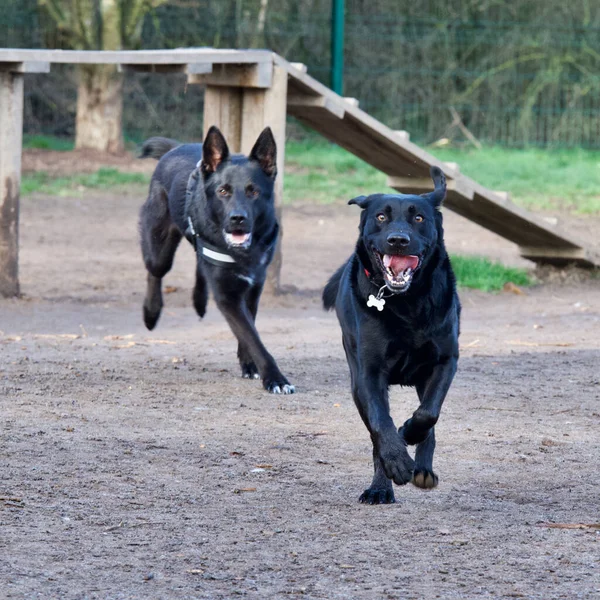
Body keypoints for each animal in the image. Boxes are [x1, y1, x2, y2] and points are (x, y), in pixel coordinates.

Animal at [138, 125, 292, 394]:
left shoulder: (253, 288)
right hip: (159, 248)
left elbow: (249, 329)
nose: (237, 218)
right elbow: (252, 337)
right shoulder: (227, 296)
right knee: (155, 271)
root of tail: (175, 148)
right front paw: (275, 378)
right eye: (223, 191)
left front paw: (249, 365)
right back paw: (151, 312)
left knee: (199, 264)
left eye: (253, 191)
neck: (242, 252)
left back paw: (199, 300)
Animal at [324, 166, 460, 504]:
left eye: (419, 218)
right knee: (375, 433)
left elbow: (428, 414)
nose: (398, 240)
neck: (406, 303)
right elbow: (380, 424)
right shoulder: (368, 374)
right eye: (381, 217)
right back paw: (381, 486)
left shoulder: (445, 361)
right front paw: (395, 463)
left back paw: (422, 468)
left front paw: (408, 432)